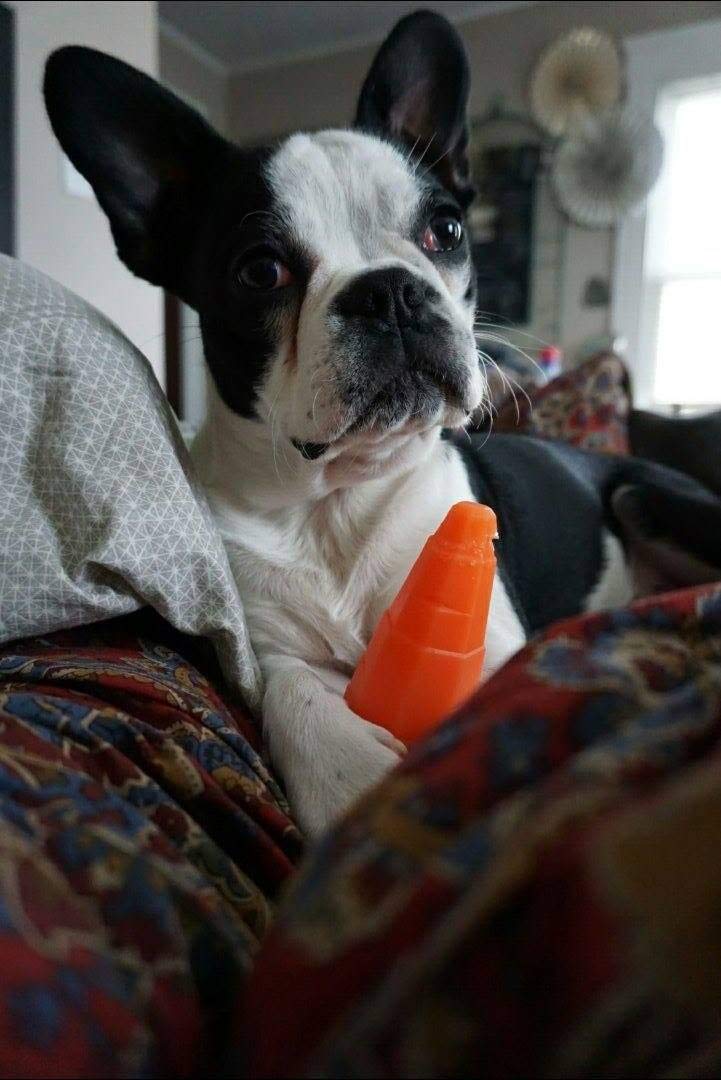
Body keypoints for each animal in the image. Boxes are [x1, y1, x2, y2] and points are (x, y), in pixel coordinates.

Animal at [45, 6, 721, 833]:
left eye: (447, 231)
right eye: (259, 270)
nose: (389, 290)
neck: (337, 496)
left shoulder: (488, 641)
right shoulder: (268, 647)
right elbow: (292, 693)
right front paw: (350, 779)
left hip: (644, 493)